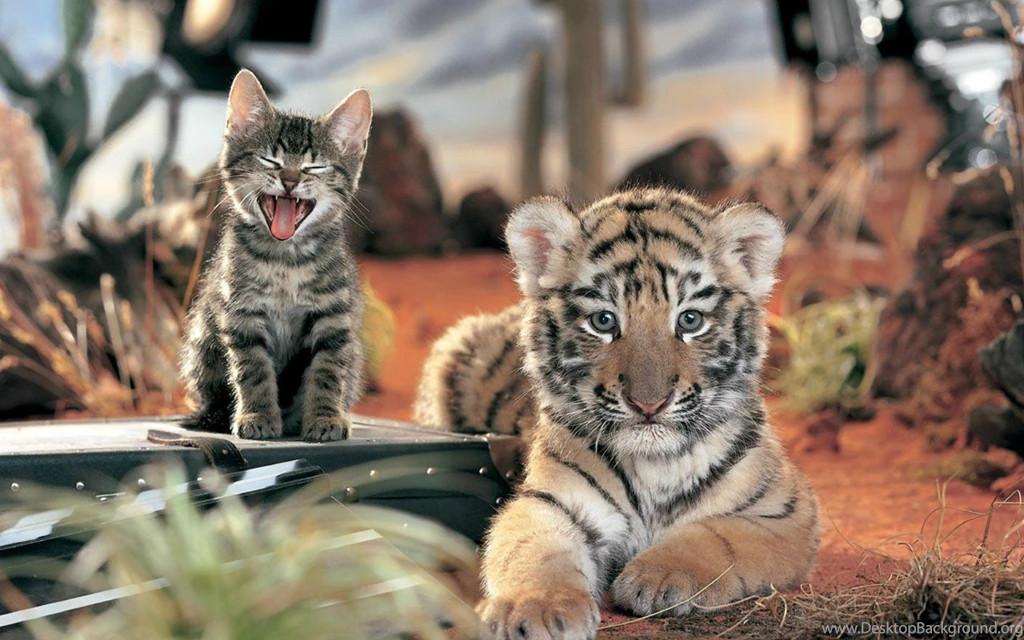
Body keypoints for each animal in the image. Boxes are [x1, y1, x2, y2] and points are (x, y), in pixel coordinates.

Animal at [414, 188, 819, 639]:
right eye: (604, 321)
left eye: (690, 320)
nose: (648, 403)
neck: (656, 466)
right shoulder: (549, 502)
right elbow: (535, 551)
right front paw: (536, 606)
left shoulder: (785, 512)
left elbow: (720, 535)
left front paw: (660, 575)